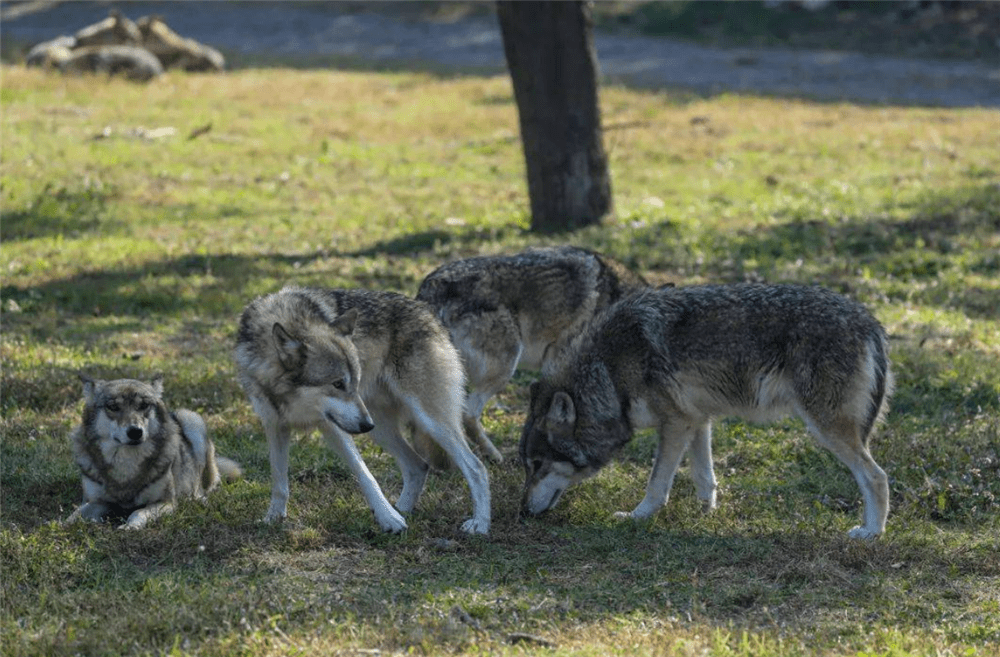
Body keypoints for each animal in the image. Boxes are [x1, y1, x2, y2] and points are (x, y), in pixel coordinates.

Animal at [67, 374, 242, 528]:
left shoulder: (166, 503)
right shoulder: (97, 502)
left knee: (202, 487)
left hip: (190, 418)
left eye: (143, 405)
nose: (135, 432)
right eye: (113, 407)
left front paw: (130, 527)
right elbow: (75, 515)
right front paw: (62, 527)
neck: (126, 464)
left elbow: (138, 512)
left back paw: (197, 500)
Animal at [238, 286, 496, 532]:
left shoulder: (333, 427)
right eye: (338, 384)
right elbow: (279, 479)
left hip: (427, 421)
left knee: (476, 468)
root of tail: (428, 312)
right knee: (418, 465)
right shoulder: (275, 425)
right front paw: (273, 518)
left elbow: (365, 475)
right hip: (380, 429)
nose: (366, 424)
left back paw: (480, 524)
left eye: (355, 383)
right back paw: (403, 509)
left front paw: (389, 519)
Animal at [520, 282, 896, 540]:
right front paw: (706, 516)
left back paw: (871, 533)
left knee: (877, 477)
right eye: (528, 466)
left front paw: (637, 517)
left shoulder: (674, 424)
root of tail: (871, 322)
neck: (608, 371)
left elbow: (656, 483)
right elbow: (705, 477)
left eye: (537, 464)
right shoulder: (697, 420)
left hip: (826, 429)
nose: (522, 512)